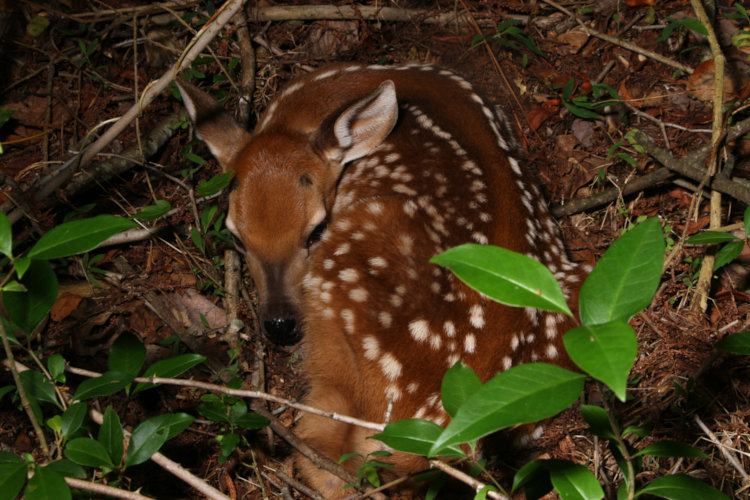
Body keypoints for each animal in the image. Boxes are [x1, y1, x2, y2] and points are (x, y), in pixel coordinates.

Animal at [176, 62, 587, 498]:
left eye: (316, 230)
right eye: (236, 237)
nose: (279, 323)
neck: (304, 107)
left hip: (351, 260)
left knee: (327, 462)